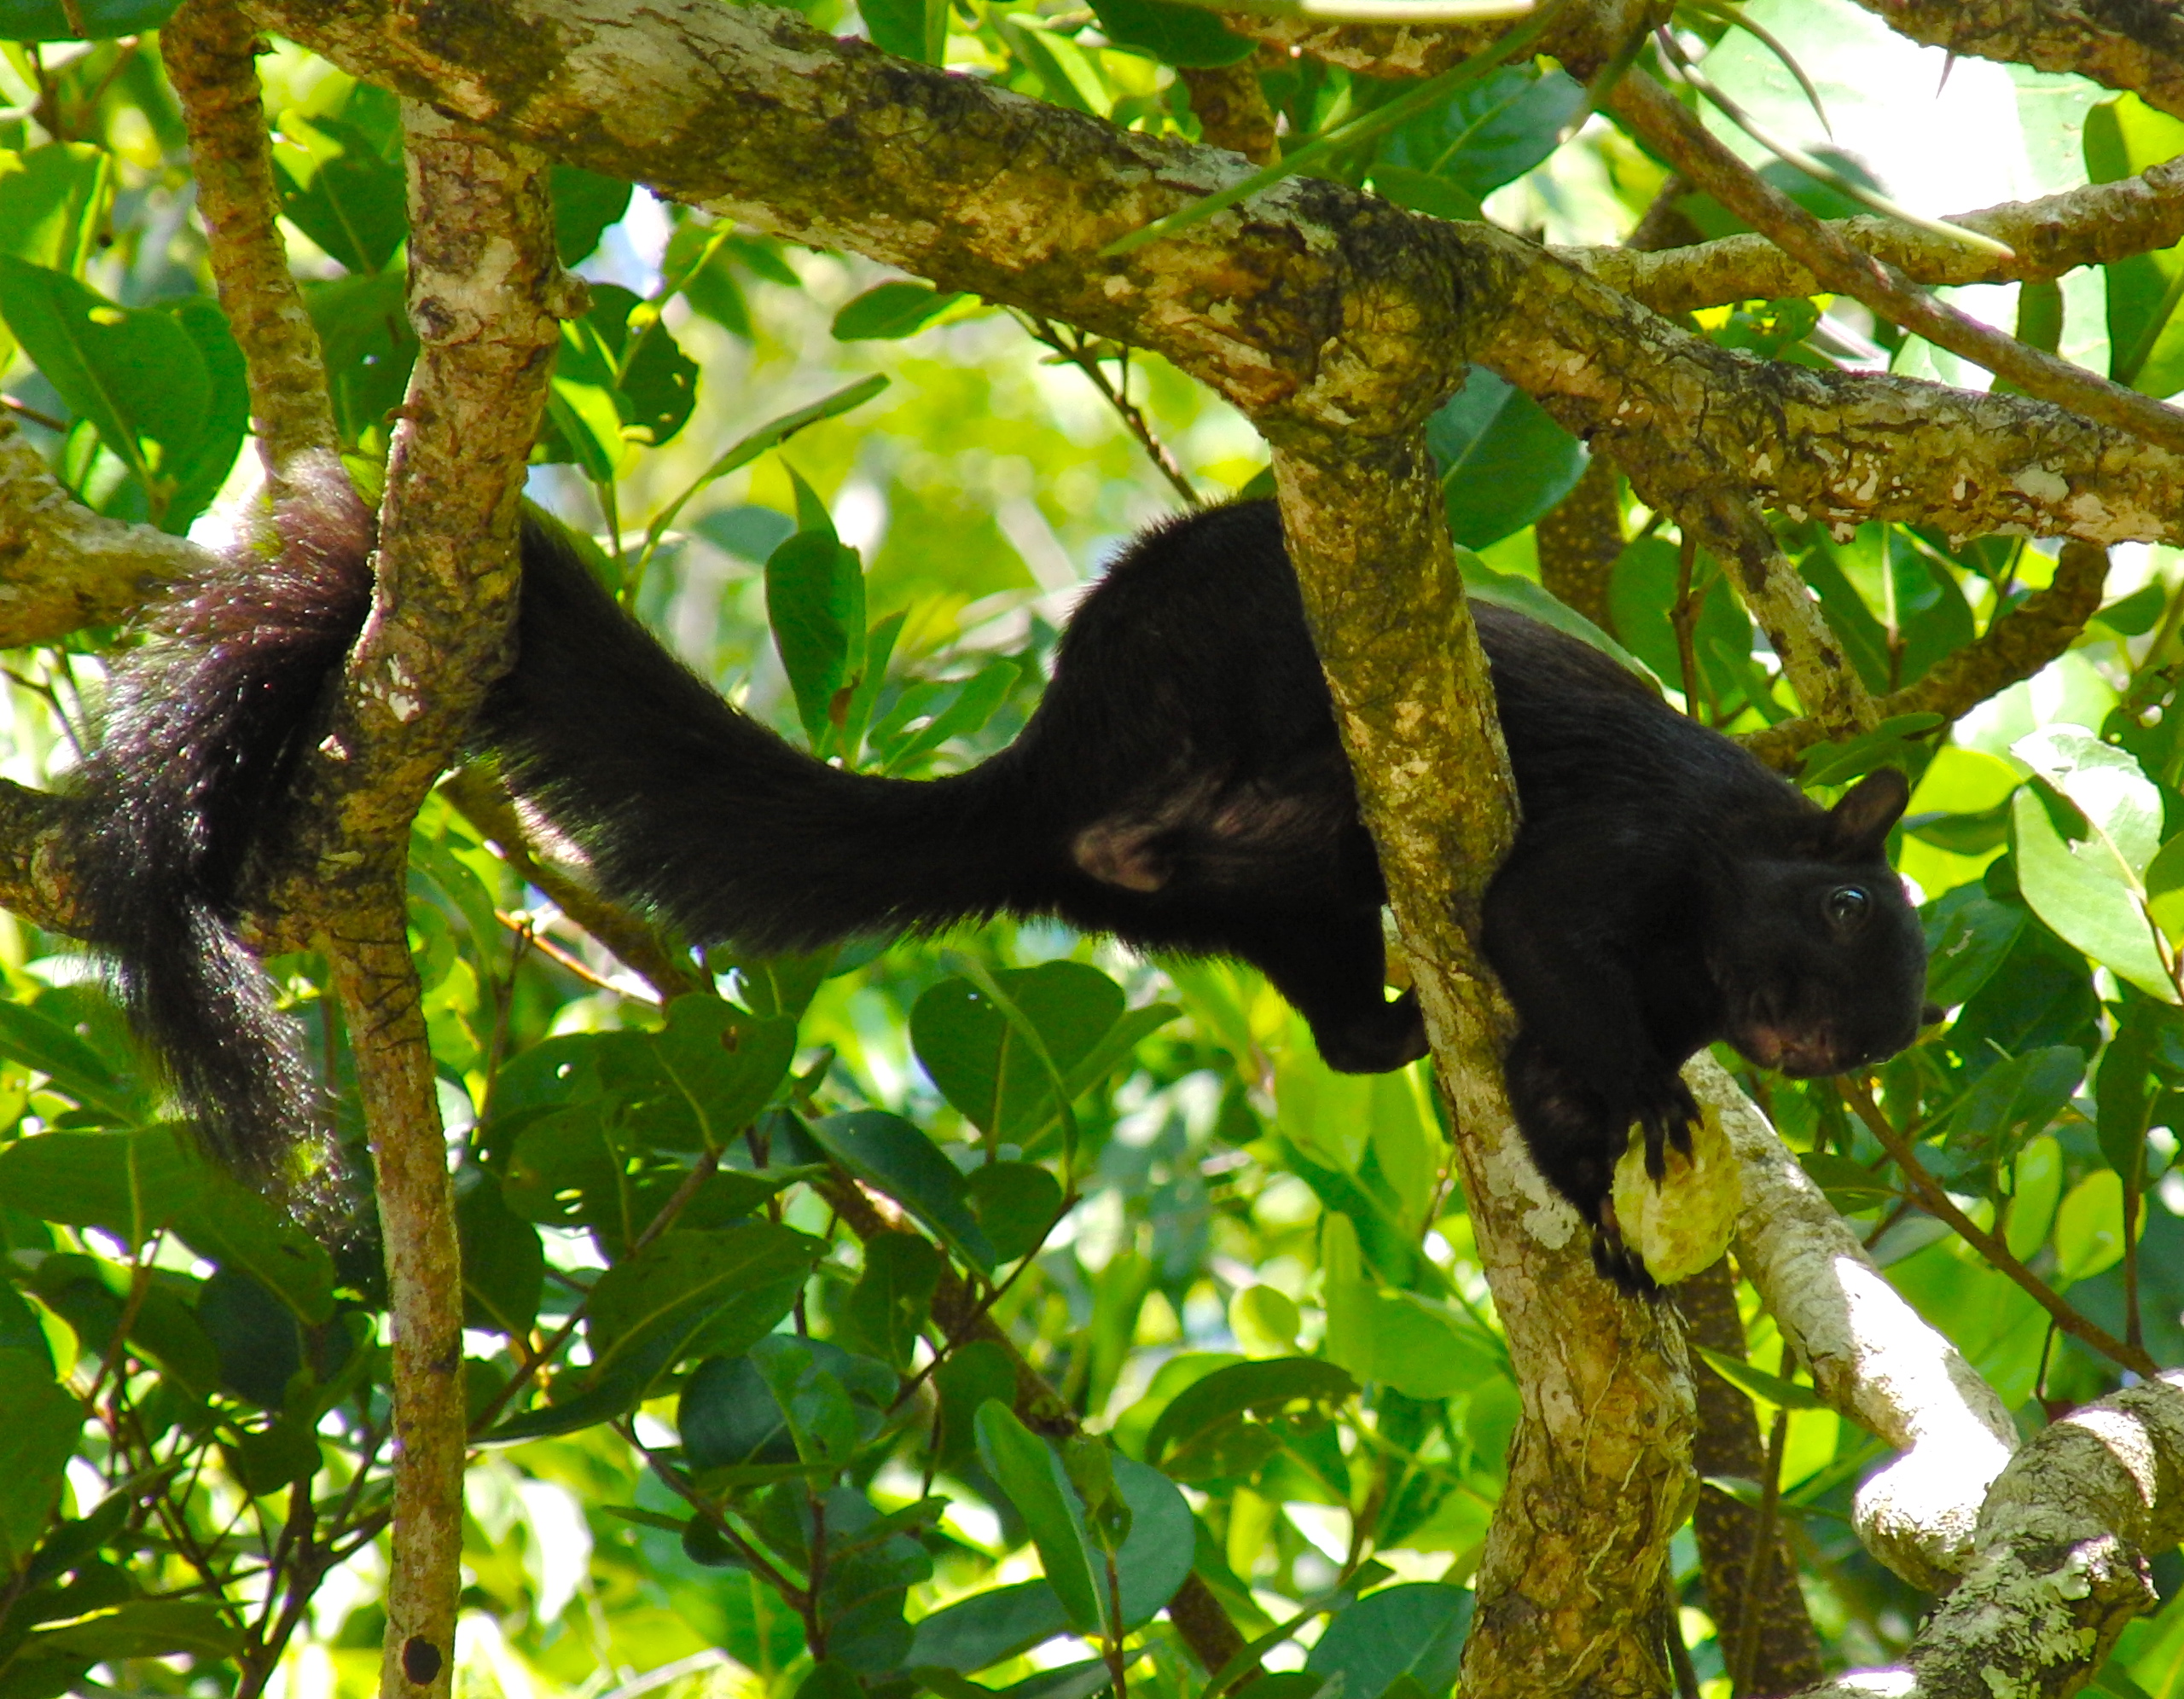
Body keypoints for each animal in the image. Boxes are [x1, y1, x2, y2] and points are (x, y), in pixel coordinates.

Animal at [65, 474, 1932, 1286]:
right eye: (1850, 911)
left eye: (1910, 1016)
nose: (1855, 1040)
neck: (1707, 940)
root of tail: (1048, 776)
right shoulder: (1633, 835)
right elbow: (1545, 940)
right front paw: (1637, 1124)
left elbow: (1577, 1091)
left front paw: (1627, 1199)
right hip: (1236, 657)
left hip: (1257, 895)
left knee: (1311, 983)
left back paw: (1390, 1025)